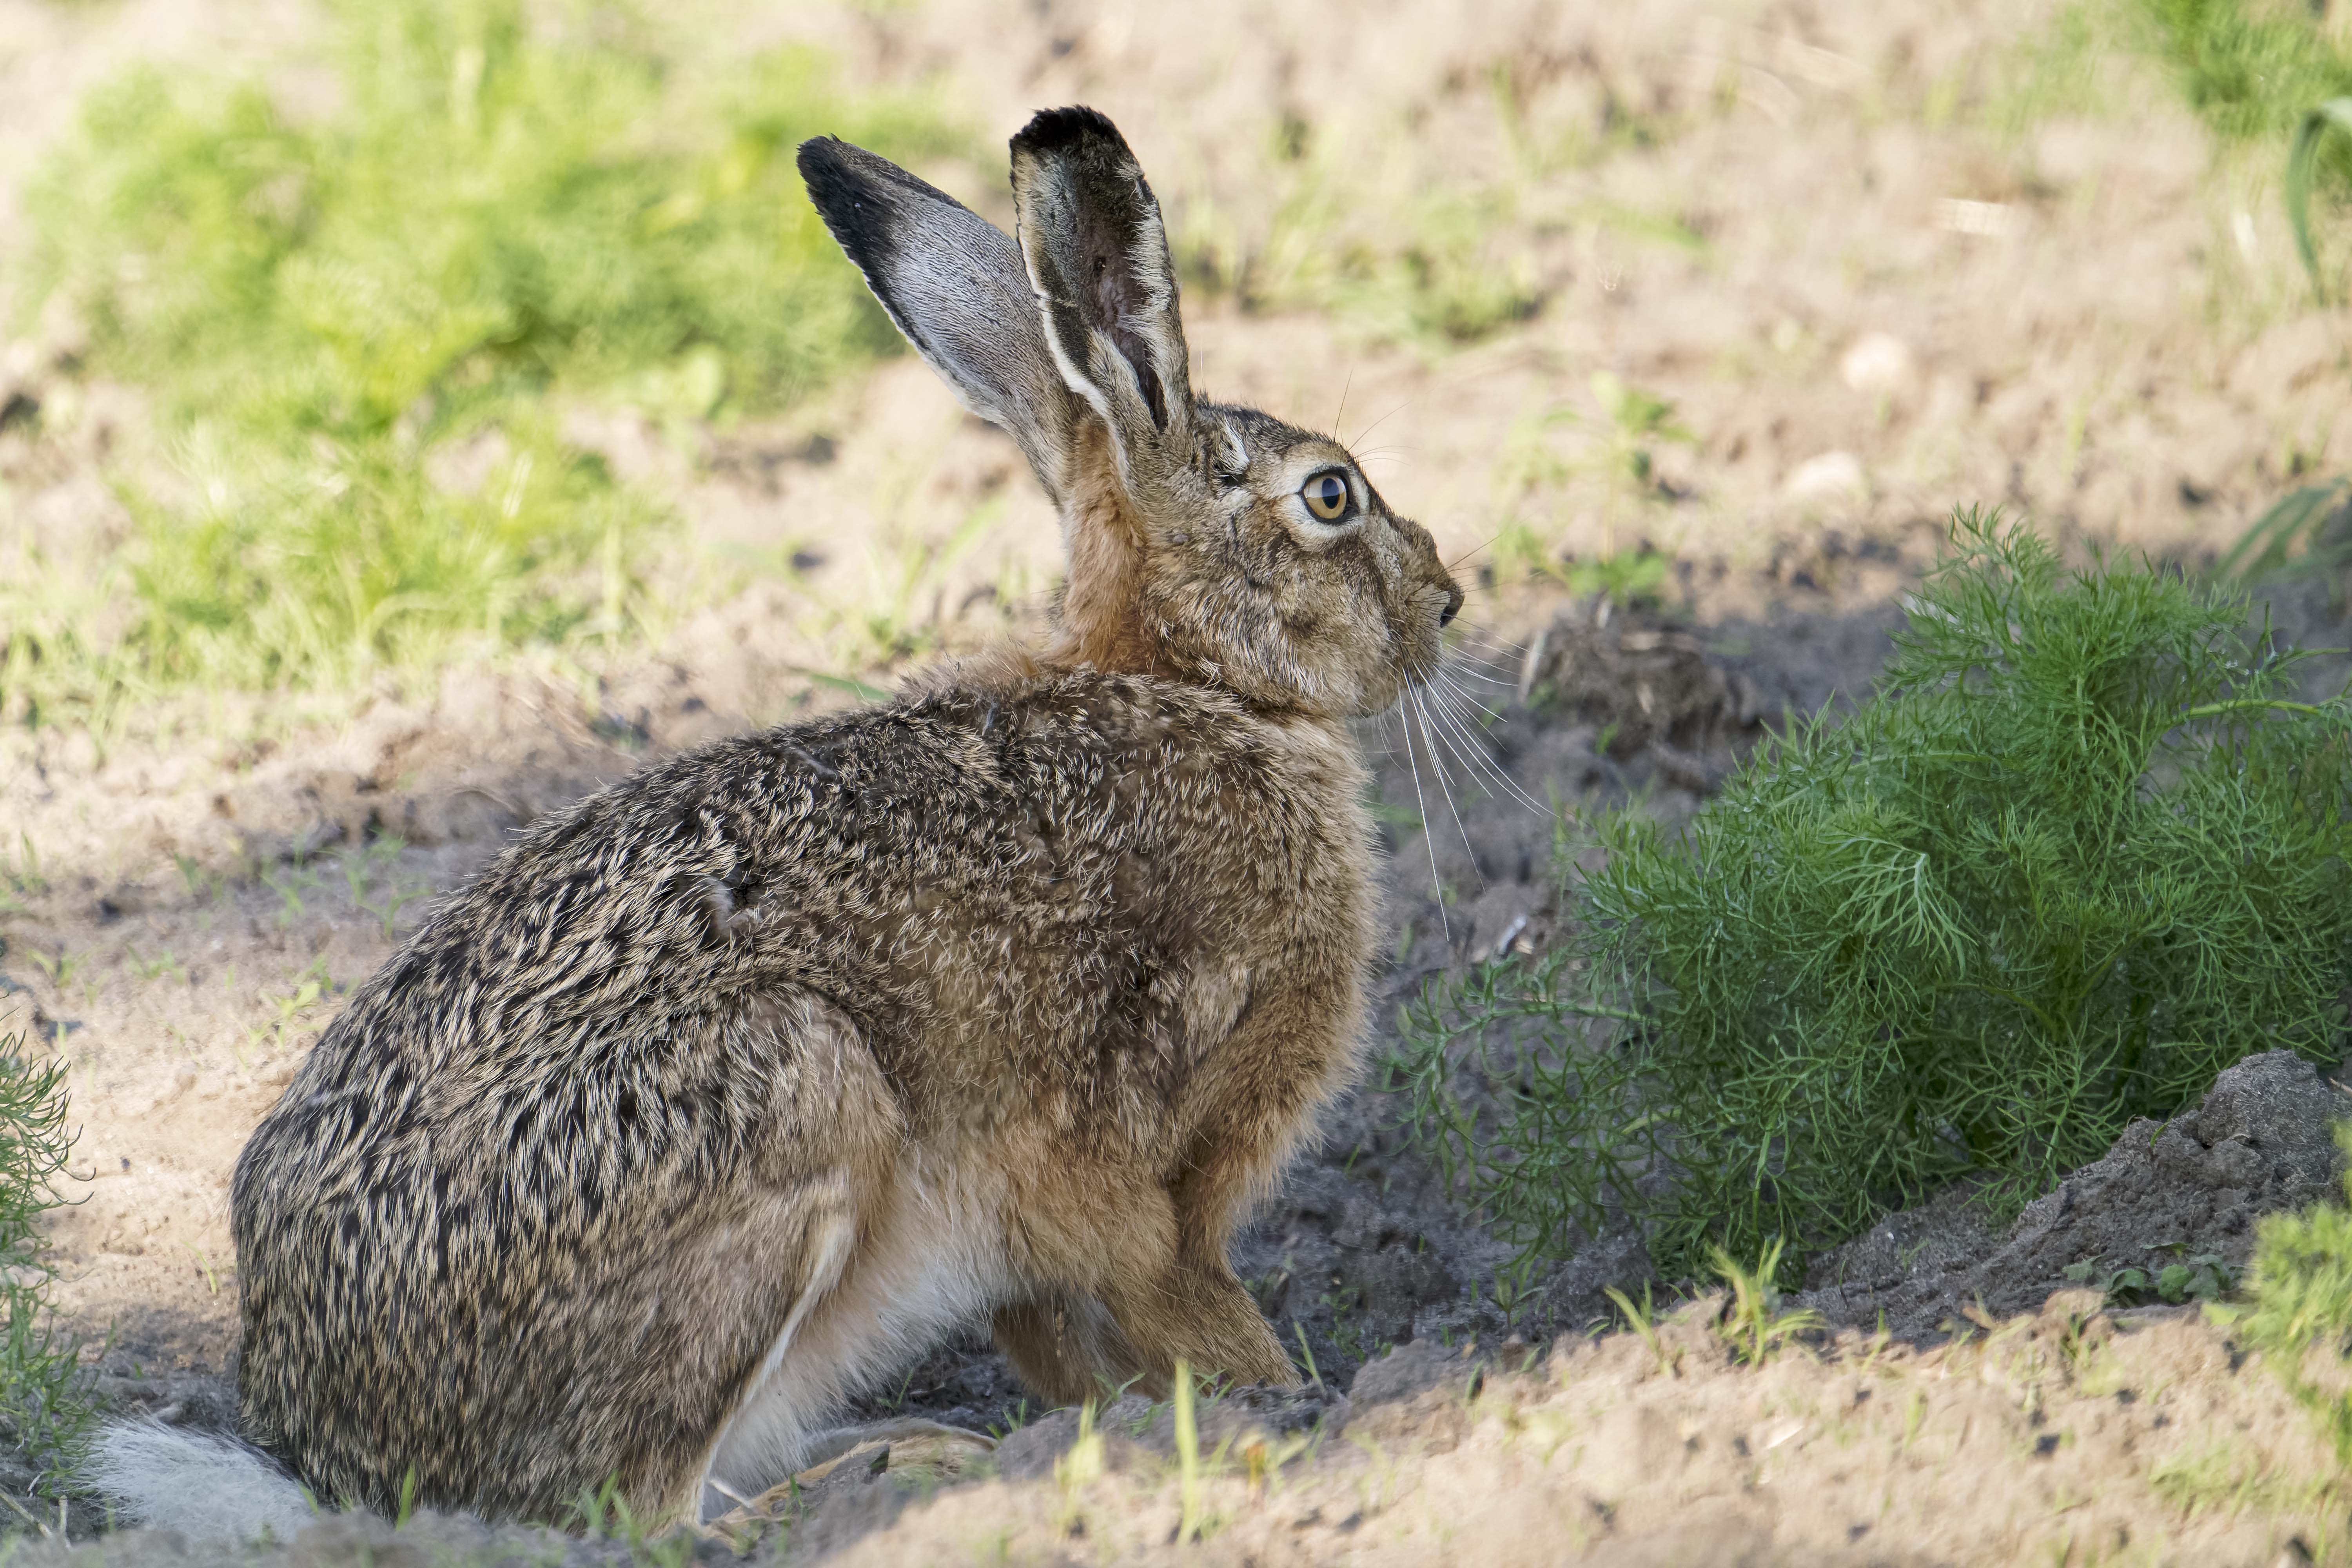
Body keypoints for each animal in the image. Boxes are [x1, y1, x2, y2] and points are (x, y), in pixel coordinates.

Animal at [92, 105, 1463, 1537]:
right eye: (1330, 497)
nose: (1448, 597)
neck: (1189, 681)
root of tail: (344, 1464)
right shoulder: (1167, 1167)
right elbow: (1190, 1307)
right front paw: (1291, 1409)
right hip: (790, 1088)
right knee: (639, 1513)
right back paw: (900, 1470)